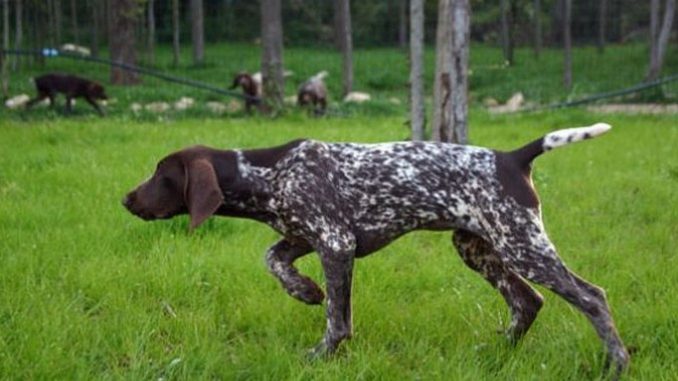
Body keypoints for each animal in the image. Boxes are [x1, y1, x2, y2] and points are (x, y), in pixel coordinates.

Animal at [122, 122, 632, 378]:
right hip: (478, 247)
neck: (267, 174)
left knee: (591, 297)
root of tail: (511, 157)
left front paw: (321, 354)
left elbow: (337, 320)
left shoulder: (335, 242)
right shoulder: (304, 236)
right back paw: (496, 355)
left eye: (160, 174)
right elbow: (272, 259)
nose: (126, 199)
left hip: (521, 244)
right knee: (527, 301)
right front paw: (303, 290)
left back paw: (617, 363)